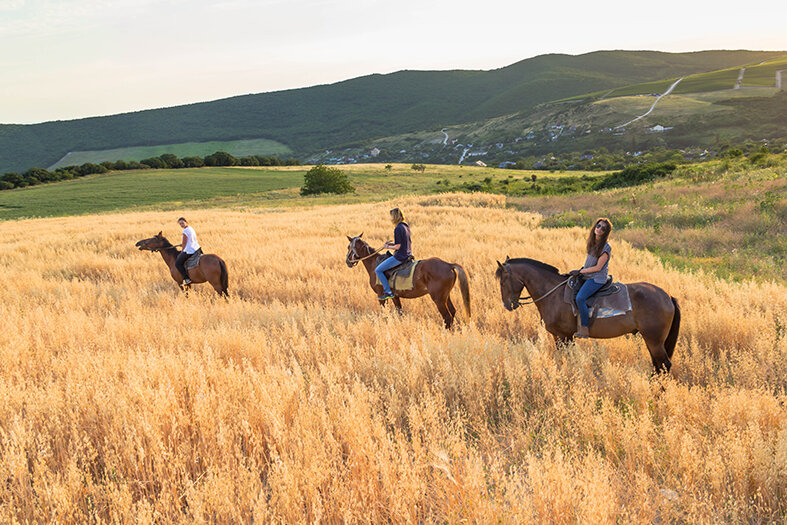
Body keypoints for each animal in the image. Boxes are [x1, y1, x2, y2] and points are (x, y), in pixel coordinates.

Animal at [496, 256, 680, 372]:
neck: (553, 293)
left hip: (654, 339)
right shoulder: (561, 337)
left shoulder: (563, 336)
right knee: (657, 364)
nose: (507, 305)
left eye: (503, 280)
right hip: (651, 339)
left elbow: (565, 360)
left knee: (664, 365)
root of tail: (667, 296)